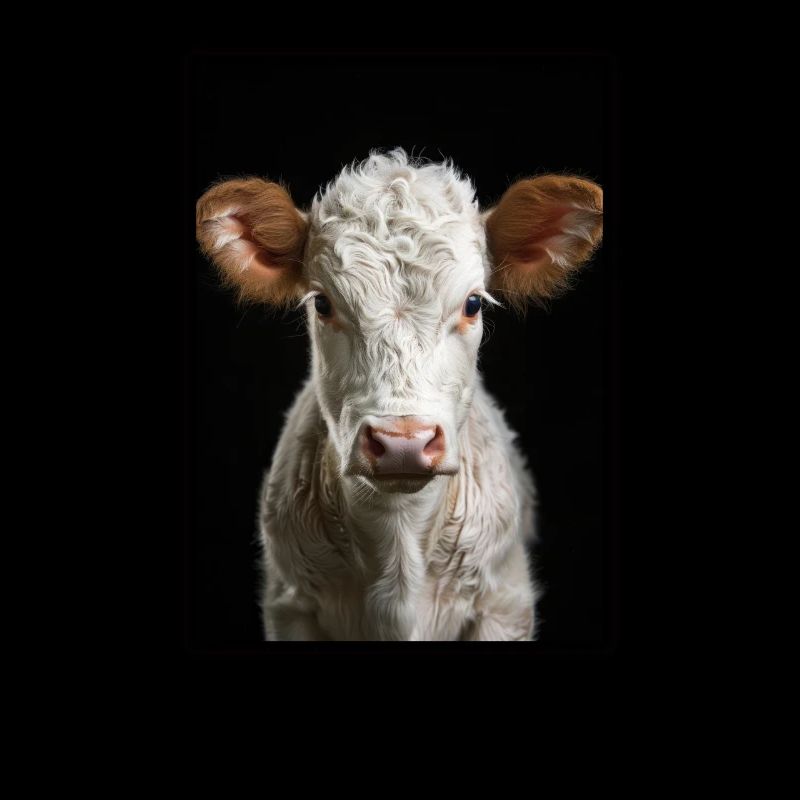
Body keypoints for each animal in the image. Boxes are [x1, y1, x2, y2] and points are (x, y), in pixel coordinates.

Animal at [196, 149, 603, 641]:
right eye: (323, 303)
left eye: (473, 303)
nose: (403, 442)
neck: (398, 535)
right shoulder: (289, 605)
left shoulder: (506, 604)